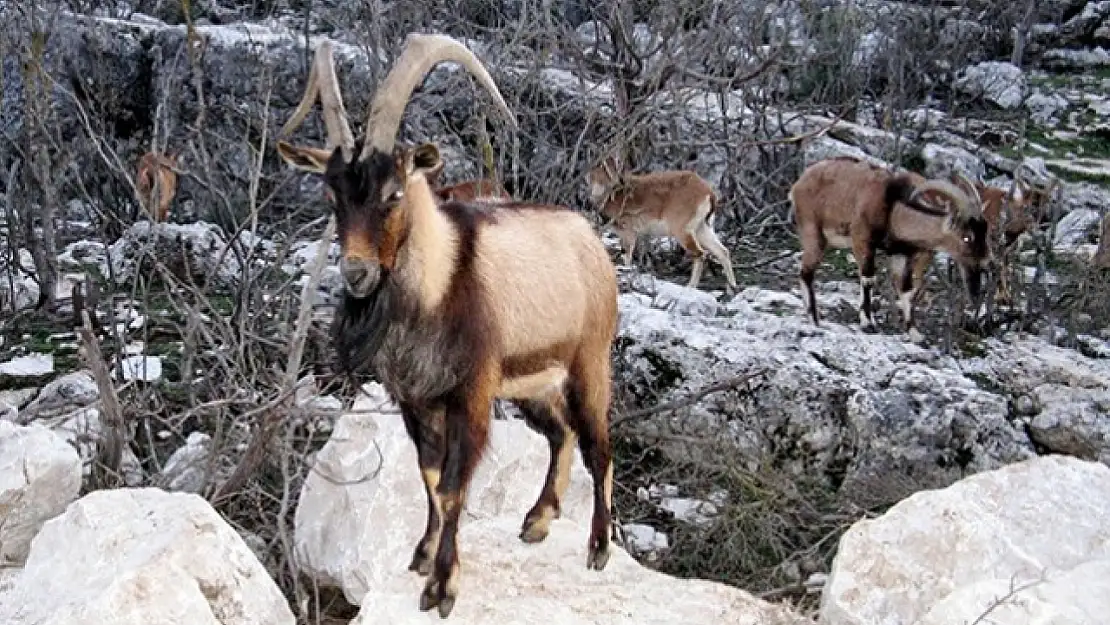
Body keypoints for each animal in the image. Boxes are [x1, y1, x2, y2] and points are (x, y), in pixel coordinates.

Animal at [274, 35, 621, 621]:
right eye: (331, 193)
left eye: (393, 193)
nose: (356, 273)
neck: (439, 284)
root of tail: (592, 242)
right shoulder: (415, 400)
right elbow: (431, 479)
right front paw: (422, 554)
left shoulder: (471, 395)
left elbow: (457, 487)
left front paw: (442, 588)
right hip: (530, 383)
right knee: (562, 432)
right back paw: (538, 520)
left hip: (588, 363)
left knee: (599, 441)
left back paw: (598, 547)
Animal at [586, 154, 741, 295]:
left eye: (601, 168)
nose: (588, 176)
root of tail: (709, 194)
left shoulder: (629, 232)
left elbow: (627, 256)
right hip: (702, 229)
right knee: (722, 251)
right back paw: (732, 287)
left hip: (683, 231)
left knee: (700, 253)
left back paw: (691, 286)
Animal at [790, 156, 990, 341]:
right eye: (967, 237)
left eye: (985, 231)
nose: (986, 259)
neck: (894, 209)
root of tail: (798, 185)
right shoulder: (862, 239)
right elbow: (868, 279)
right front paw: (868, 323)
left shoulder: (900, 254)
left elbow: (906, 290)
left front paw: (914, 333)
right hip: (813, 231)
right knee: (806, 273)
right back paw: (814, 319)